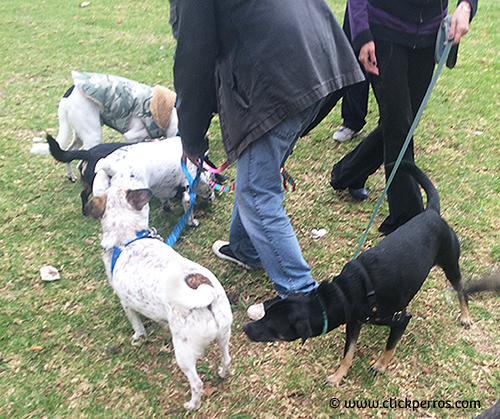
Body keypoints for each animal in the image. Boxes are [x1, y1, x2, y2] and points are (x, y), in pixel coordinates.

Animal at [29, 72, 178, 182]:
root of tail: (67, 95)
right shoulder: (133, 136)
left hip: (80, 134)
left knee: (68, 152)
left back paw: (70, 175)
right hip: (93, 136)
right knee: (81, 164)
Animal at [86, 186, 232, 410]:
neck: (127, 238)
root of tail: (205, 292)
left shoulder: (126, 303)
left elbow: (136, 324)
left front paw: (138, 336)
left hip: (183, 352)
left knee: (197, 383)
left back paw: (192, 405)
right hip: (224, 333)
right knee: (227, 358)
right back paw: (223, 373)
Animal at [244, 162, 470, 388]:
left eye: (272, 326)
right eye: (265, 313)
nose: (246, 328)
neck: (344, 294)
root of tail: (431, 212)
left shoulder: (401, 320)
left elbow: (390, 346)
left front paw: (380, 365)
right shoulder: (353, 323)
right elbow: (348, 354)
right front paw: (338, 376)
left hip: (450, 262)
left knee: (461, 289)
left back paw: (466, 316)